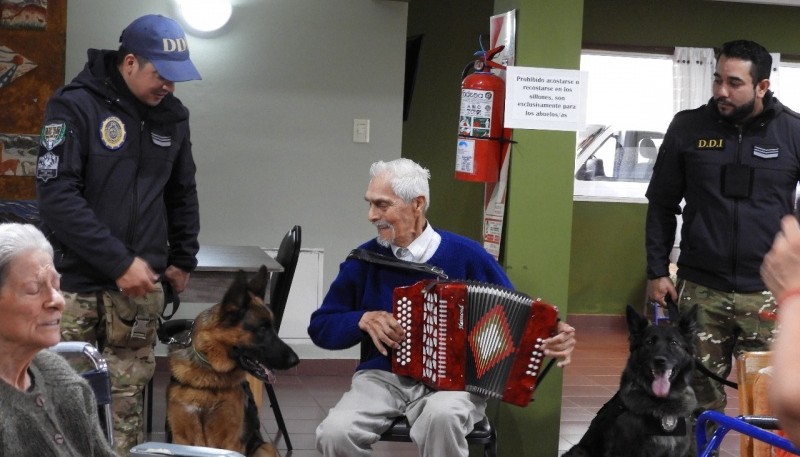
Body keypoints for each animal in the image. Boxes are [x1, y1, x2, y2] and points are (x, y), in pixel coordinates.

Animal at [166, 266, 300, 454]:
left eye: (273, 328)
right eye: (262, 329)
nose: (296, 361)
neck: (208, 376)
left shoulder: (231, 441)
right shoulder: (180, 438)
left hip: (265, 448)